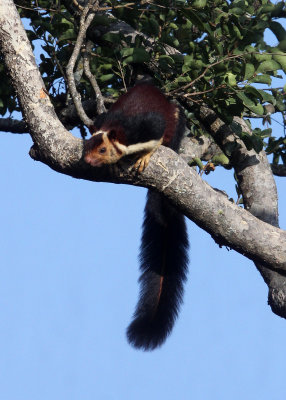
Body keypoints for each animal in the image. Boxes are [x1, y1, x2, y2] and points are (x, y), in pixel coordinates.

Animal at [84, 83, 189, 350]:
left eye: (102, 150)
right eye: (86, 147)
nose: (88, 160)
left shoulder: (147, 126)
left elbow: (156, 137)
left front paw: (144, 157)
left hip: (176, 117)